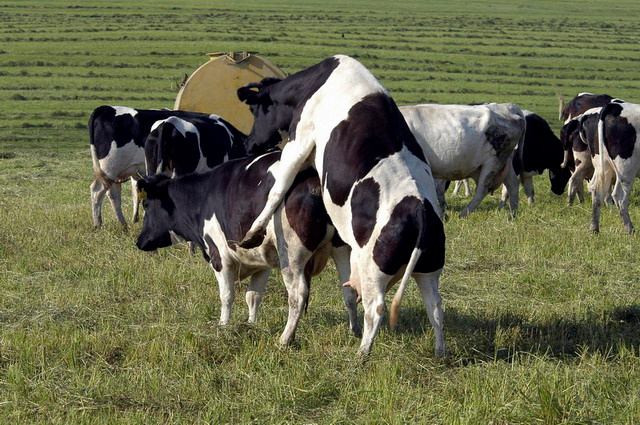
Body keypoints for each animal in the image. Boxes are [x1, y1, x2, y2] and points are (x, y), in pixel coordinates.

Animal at [89, 106, 244, 227]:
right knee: (98, 190)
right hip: (110, 168)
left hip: (115, 172)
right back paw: (98, 224)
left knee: (113, 194)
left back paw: (123, 224)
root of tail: (106, 108)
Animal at [135, 151, 358, 344]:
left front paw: (223, 326)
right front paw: (251, 324)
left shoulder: (219, 257)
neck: (203, 197)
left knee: (297, 295)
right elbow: (253, 296)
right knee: (348, 290)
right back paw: (354, 332)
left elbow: (227, 296)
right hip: (341, 249)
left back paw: (285, 339)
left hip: (292, 255)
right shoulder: (262, 263)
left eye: (146, 205)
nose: (139, 241)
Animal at [236, 55, 446, 357]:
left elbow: (278, 188)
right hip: (429, 269)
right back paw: (440, 352)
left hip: (373, 271)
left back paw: (361, 354)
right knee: (436, 307)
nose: (248, 143)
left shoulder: (299, 142)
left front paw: (252, 234)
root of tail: (420, 210)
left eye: (255, 109)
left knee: (376, 307)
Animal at [587, 102, 640, 234]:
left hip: (602, 165)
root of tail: (615, 106)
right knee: (619, 197)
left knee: (597, 192)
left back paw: (594, 228)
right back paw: (630, 229)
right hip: (626, 169)